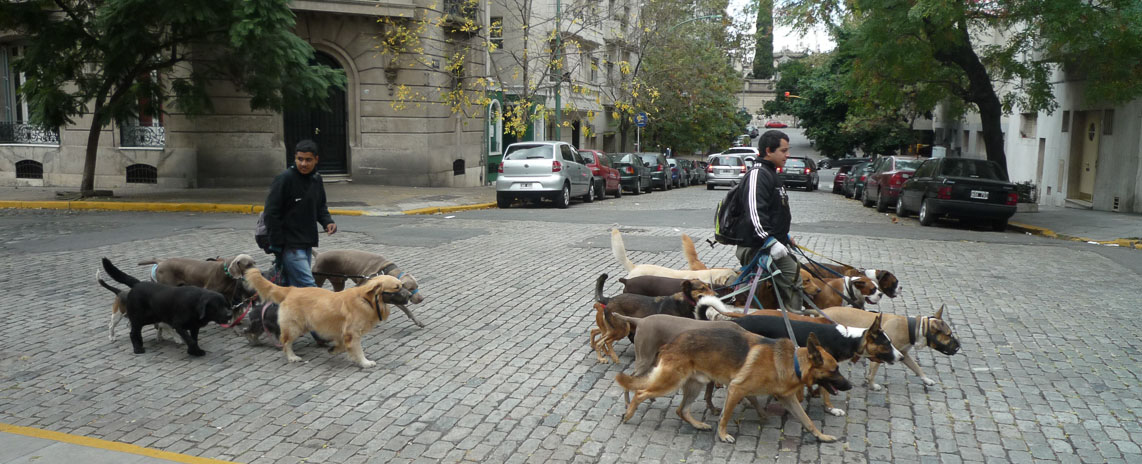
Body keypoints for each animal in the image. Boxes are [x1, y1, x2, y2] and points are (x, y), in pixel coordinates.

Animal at [102, 256, 234, 356]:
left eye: (226, 304)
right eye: (216, 306)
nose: (230, 314)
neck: (194, 304)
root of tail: (137, 284)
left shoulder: (194, 326)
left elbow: (193, 339)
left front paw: (194, 351)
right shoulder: (178, 324)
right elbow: (189, 339)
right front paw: (194, 351)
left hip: (150, 318)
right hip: (138, 318)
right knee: (133, 332)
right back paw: (138, 348)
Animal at [245, 266, 411, 368]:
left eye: (402, 285)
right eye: (396, 288)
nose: (410, 295)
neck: (366, 300)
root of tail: (291, 289)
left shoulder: (343, 332)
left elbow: (343, 345)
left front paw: (334, 349)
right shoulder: (352, 332)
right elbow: (357, 349)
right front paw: (365, 362)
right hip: (294, 326)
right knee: (285, 342)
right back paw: (292, 357)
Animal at [616, 329, 849, 441]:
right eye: (834, 369)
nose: (851, 385)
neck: (792, 362)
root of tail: (669, 344)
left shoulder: (788, 398)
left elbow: (808, 421)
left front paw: (821, 436)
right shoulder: (737, 389)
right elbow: (725, 417)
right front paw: (723, 435)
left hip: (694, 386)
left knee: (681, 410)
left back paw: (698, 425)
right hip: (670, 382)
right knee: (640, 392)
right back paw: (628, 414)